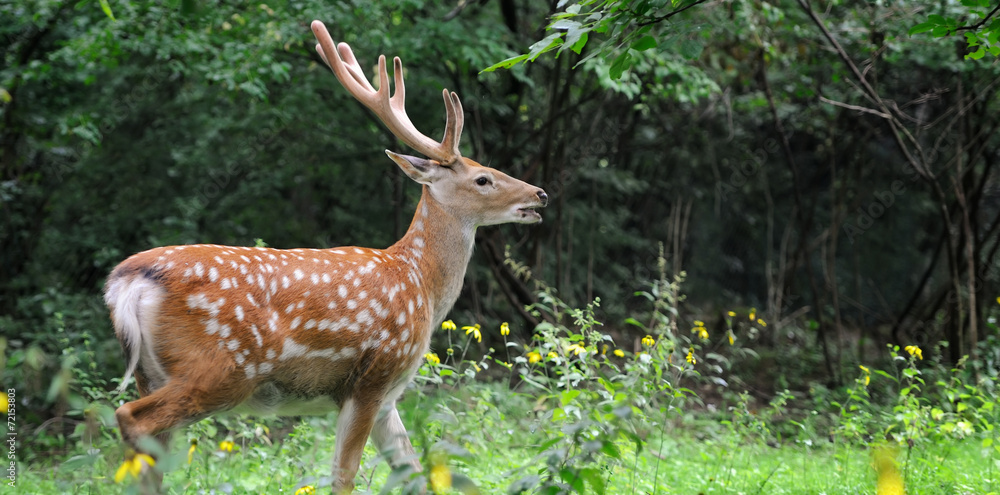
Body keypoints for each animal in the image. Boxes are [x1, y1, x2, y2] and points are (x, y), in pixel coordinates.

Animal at [103, 18, 548, 492]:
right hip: (221, 367)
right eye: (482, 179)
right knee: (132, 420)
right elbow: (344, 474)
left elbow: (415, 471)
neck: (420, 282)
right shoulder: (370, 376)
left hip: (152, 372)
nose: (539, 194)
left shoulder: (390, 398)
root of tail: (127, 280)